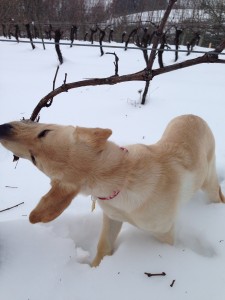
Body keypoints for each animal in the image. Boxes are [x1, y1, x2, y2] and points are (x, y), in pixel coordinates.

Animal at [0, 114, 224, 264]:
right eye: (34, 158)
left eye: (44, 132)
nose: (2, 128)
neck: (122, 176)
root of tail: (193, 116)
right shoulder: (112, 218)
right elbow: (103, 246)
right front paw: (95, 268)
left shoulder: (165, 234)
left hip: (209, 182)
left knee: (217, 195)